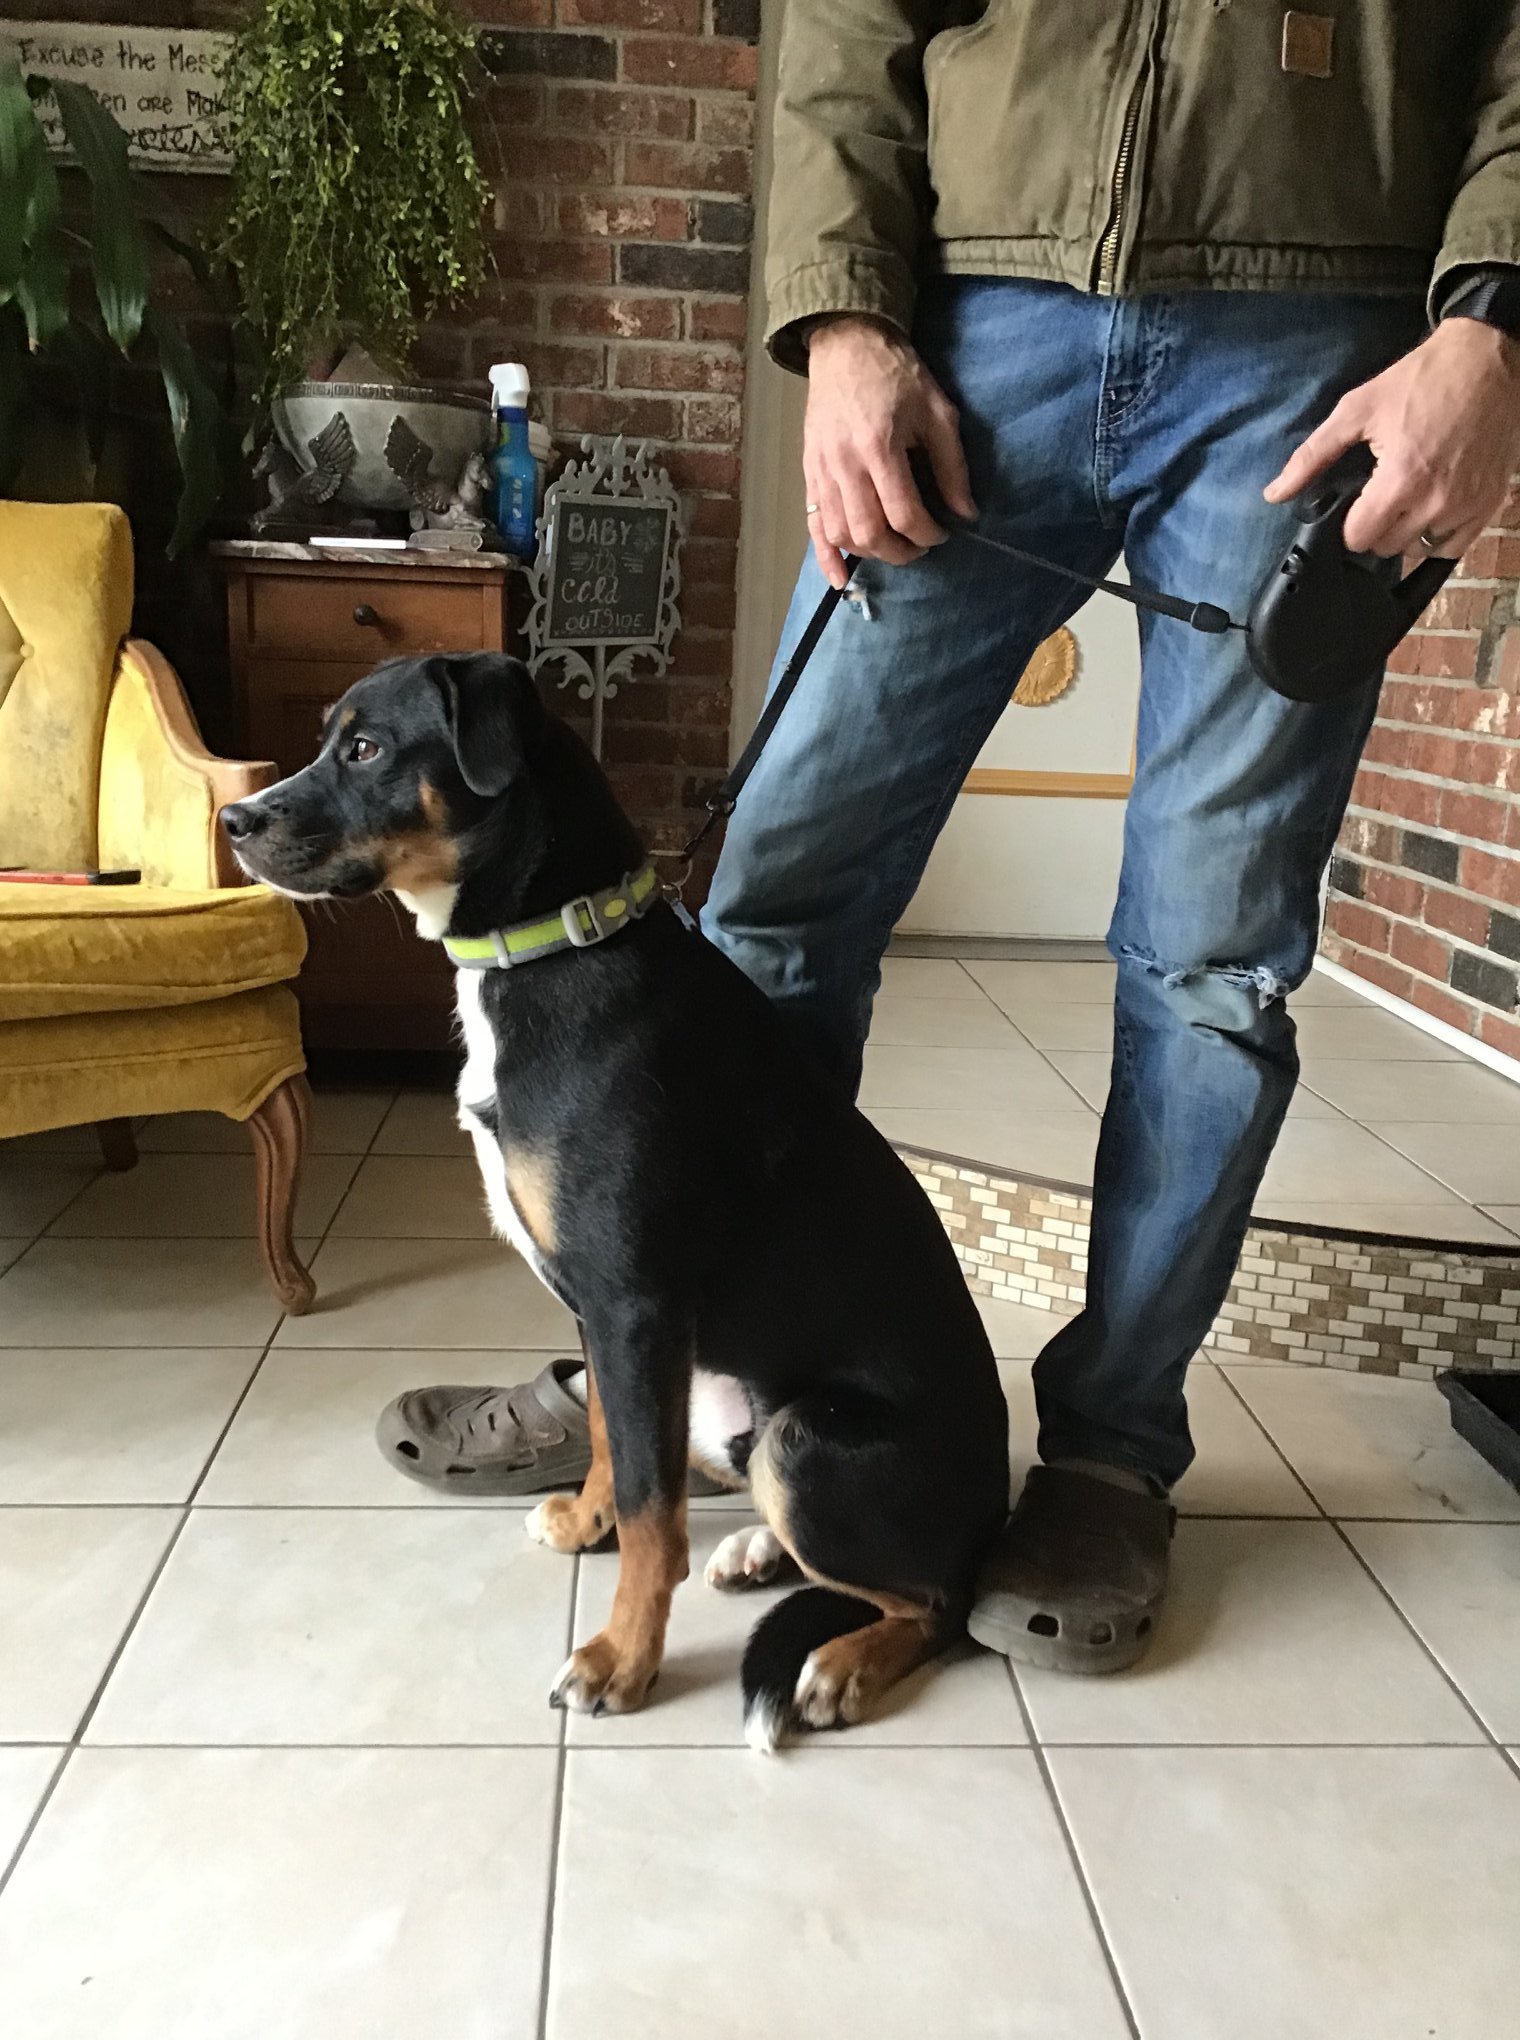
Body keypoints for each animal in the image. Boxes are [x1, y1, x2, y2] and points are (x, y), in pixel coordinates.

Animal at [222, 656, 1007, 1754]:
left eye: (366, 747)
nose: (233, 819)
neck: (551, 949)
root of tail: (1001, 1510)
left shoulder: (635, 1306)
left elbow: (651, 1515)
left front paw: (621, 1661)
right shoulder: (602, 1313)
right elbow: (607, 1444)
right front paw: (584, 1523)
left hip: (805, 1441)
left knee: (939, 1603)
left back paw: (840, 1664)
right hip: (724, 1410)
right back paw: (758, 1554)